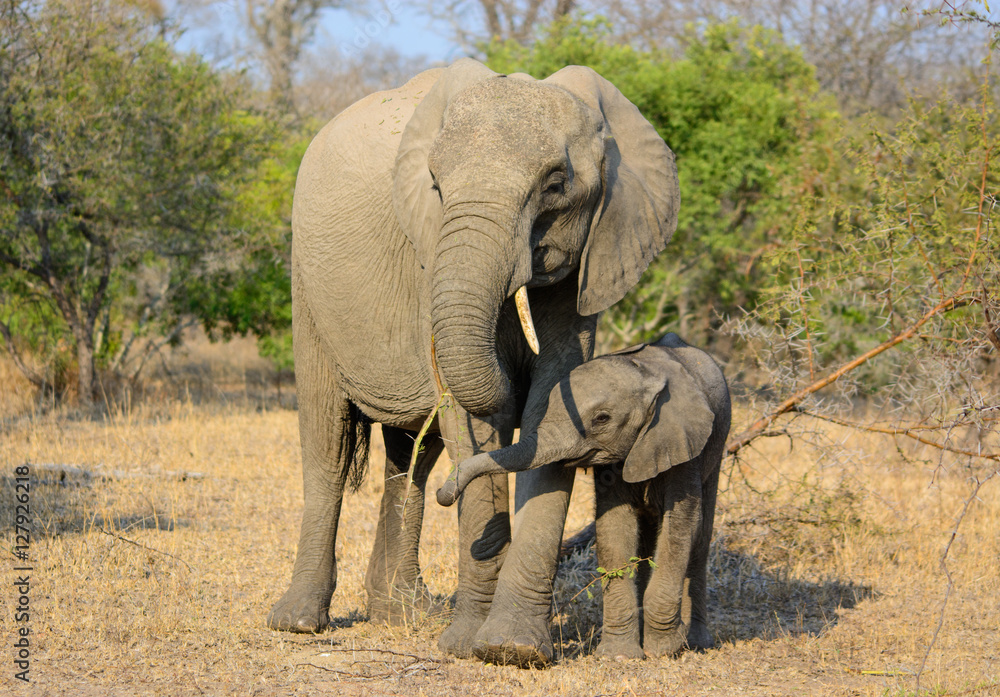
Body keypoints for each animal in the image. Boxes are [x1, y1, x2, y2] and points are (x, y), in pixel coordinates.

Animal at [266, 57, 680, 668]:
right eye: (436, 185)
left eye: (555, 184)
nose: (451, 497)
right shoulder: (429, 256)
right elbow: (475, 419)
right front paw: (467, 644)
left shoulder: (589, 257)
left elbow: (553, 404)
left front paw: (513, 648)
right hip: (307, 288)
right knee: (328, 442)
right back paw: (298, 621)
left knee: (412, 457)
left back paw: (402, 613)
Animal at [437, 333, 731, 659]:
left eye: (602, 419)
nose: (443, 494)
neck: (644, 374)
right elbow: (615, 528)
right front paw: (619, 657)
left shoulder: (683, 444)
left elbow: (679, 528)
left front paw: (663, 650)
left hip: (716, 445)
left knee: (699, 539)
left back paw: (696, 643)